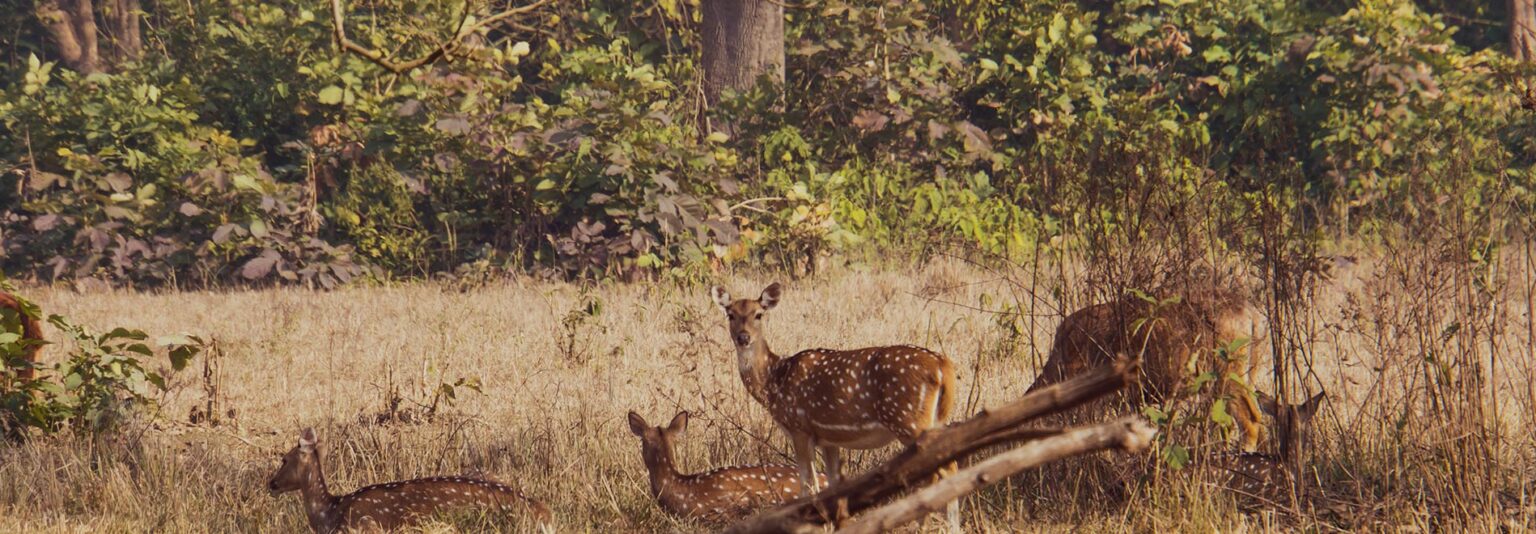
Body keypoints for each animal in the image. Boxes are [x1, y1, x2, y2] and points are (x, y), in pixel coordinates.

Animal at [709, 283, 958, 530]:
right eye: (730, 315)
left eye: (758, 314)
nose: (743, 337)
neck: (774, 381)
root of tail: (943, 365)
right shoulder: (828, 439)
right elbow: (833, 488)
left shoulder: (800, 427)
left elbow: (808, 488)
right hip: (933, 419)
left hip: (908, 418)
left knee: (947, 467)